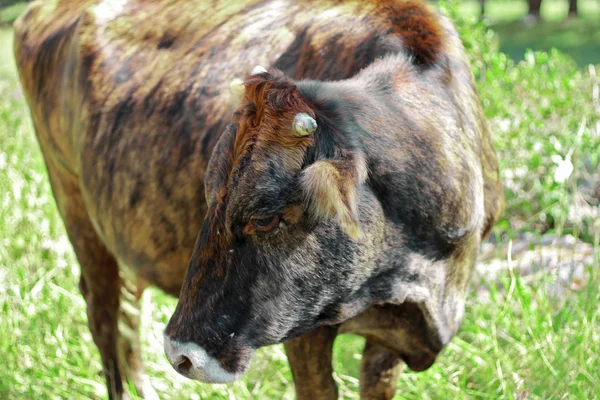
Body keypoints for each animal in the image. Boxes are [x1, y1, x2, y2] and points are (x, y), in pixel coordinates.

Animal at [12, 0, 502, 398]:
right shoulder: (305, 334)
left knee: (130, 309)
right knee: (104, 314)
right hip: (73, 203)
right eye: (209, 195)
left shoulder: (388, 342)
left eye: (265, 216)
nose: (180, 353)